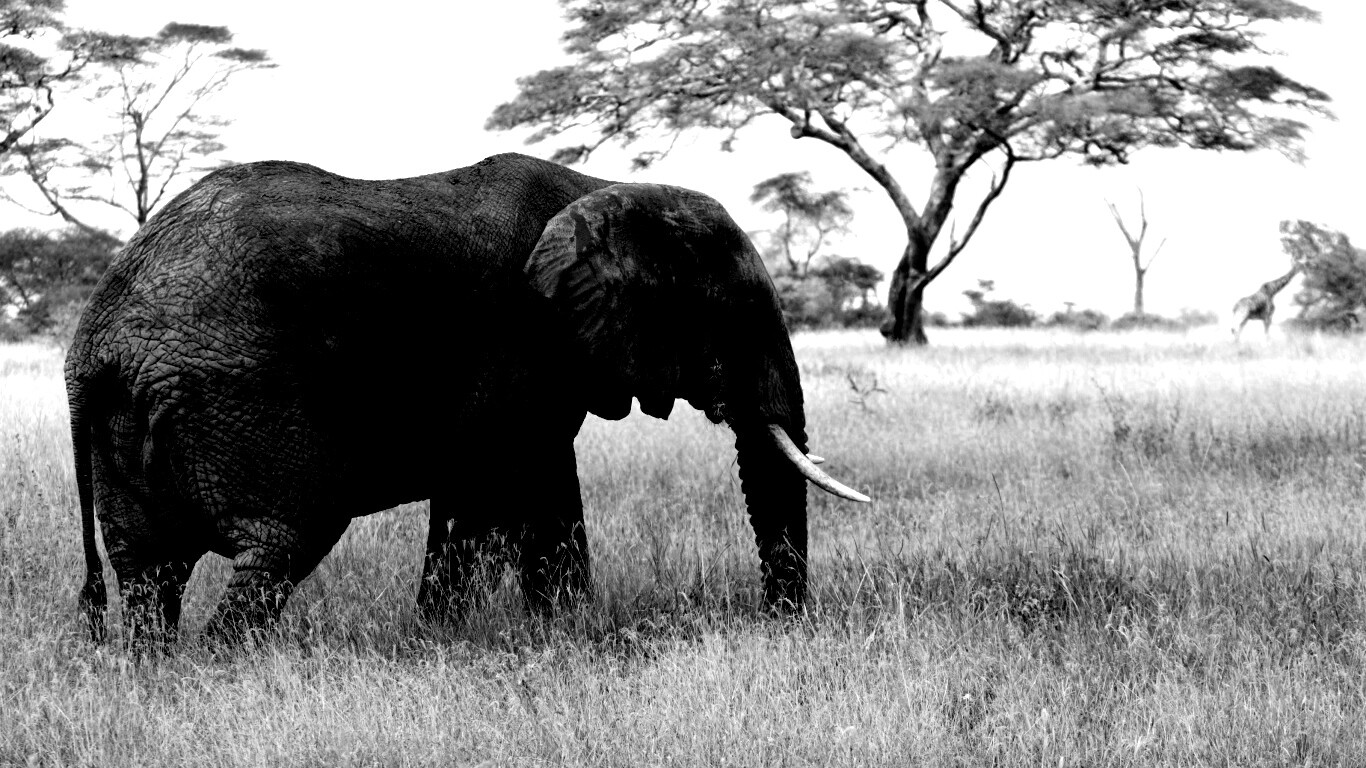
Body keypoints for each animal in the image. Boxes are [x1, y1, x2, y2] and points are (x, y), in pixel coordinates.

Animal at [65, 152, 868, 644]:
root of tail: (96, 343)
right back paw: (225, 669)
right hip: (234, 397)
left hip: (132, 419)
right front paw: (542, 636)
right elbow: (514, 492)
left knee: (148, 569)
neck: (605, 189)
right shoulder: (525, 345)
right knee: (283, 540)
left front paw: (496, 635)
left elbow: (497, 496)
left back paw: (158, 673)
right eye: (734, 316)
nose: (780, 624)